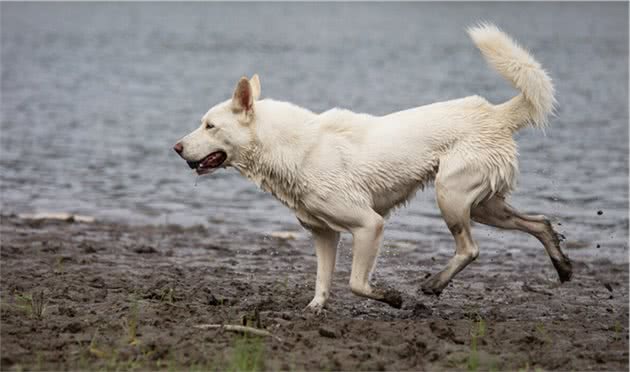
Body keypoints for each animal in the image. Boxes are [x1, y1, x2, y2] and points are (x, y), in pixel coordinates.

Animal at [175, 24, 576, 310]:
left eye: (210, 126)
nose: (176, 148)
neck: (291, 147)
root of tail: (494, 113)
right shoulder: (324, 234)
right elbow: (322, 280)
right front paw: (314, 309)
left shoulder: (369, 225)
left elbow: (355, 283)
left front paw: (391, 298)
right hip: (483, 205)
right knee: (539, 222)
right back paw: (563, 266)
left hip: (451, 195)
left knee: (470, 249)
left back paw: (433, 285)